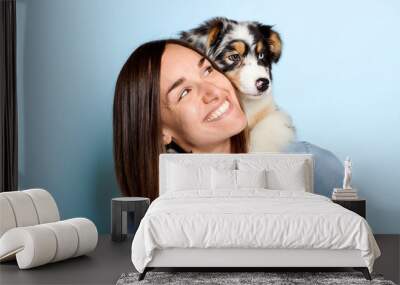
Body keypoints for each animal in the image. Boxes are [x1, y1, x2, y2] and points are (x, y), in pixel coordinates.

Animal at [180, 16, 296, 152]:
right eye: (234, 57)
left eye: (261, 55)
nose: (264, 84)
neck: (243, 102)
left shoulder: (274, 113)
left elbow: (265, 132)